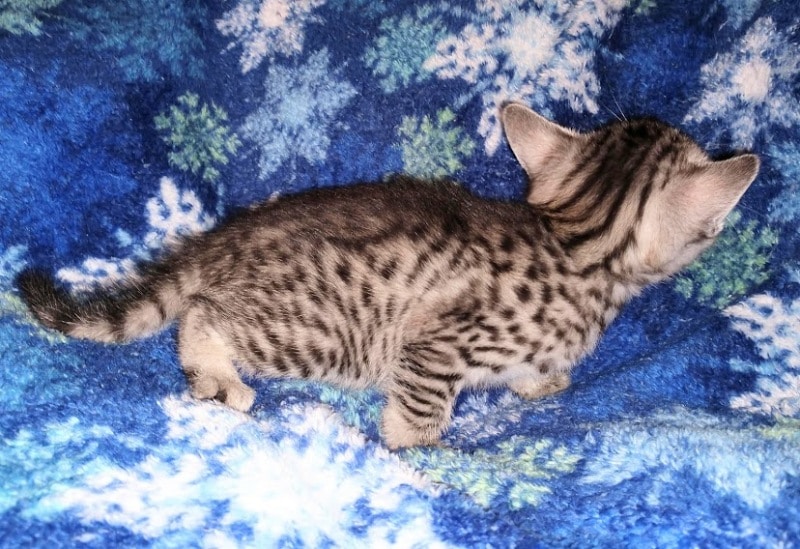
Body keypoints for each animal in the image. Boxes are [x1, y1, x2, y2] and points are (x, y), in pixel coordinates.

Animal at [17, 103, 759, 449]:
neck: (578, 240)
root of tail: (224, 237)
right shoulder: (441, 342)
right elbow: (423, 406)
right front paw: (414, 450)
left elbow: (532, 373)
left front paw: (542, 382)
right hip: (319, 334)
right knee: (202, 314)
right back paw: (218, 374)